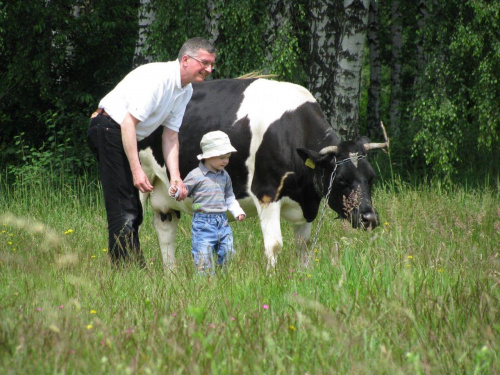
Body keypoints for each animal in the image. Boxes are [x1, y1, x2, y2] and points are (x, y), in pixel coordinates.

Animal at [139, 78, 388, 270]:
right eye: (342, 179)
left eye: (371, 177)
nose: (370, 218)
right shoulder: (267, 193)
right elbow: (275, 244)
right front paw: (272, 278)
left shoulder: (306, 204)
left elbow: (304, 245)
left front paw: (303, 274)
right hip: (140, 178)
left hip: (165, 191)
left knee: (165, 229)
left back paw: (171, 275)